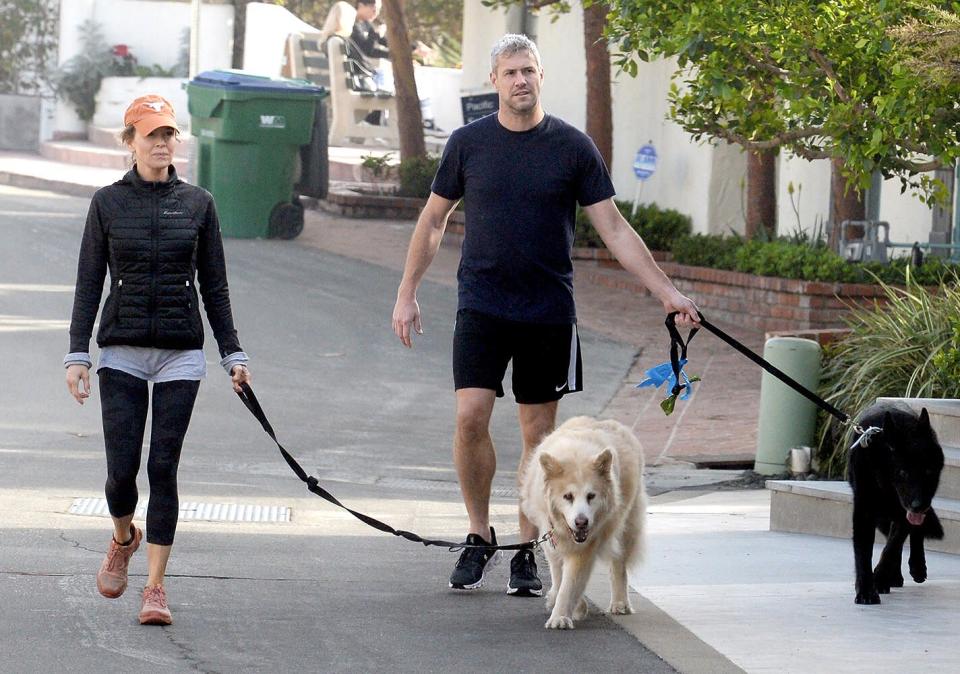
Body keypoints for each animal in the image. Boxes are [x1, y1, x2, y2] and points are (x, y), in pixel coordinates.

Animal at [516, 412, 644, 628]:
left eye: (591, 496)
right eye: (568, 496)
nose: (581, 522)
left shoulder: (586, 546)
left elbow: (570, 584)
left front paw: (560, 617)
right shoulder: (550, 537)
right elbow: (559, 576)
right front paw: (571, 605)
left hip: (626, 526)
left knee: (618, 565)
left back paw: (620, 603)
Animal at [848, 400, 944, 604]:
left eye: (929, 471)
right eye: (903, 472)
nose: (918, 506)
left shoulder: (903, 513)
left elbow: (892, 546)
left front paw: (879, 578)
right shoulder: (864, 512)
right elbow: (864, 551)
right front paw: (866, 590)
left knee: (910, 535)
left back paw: (915, 567)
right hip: (882, 516)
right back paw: (894, 577)